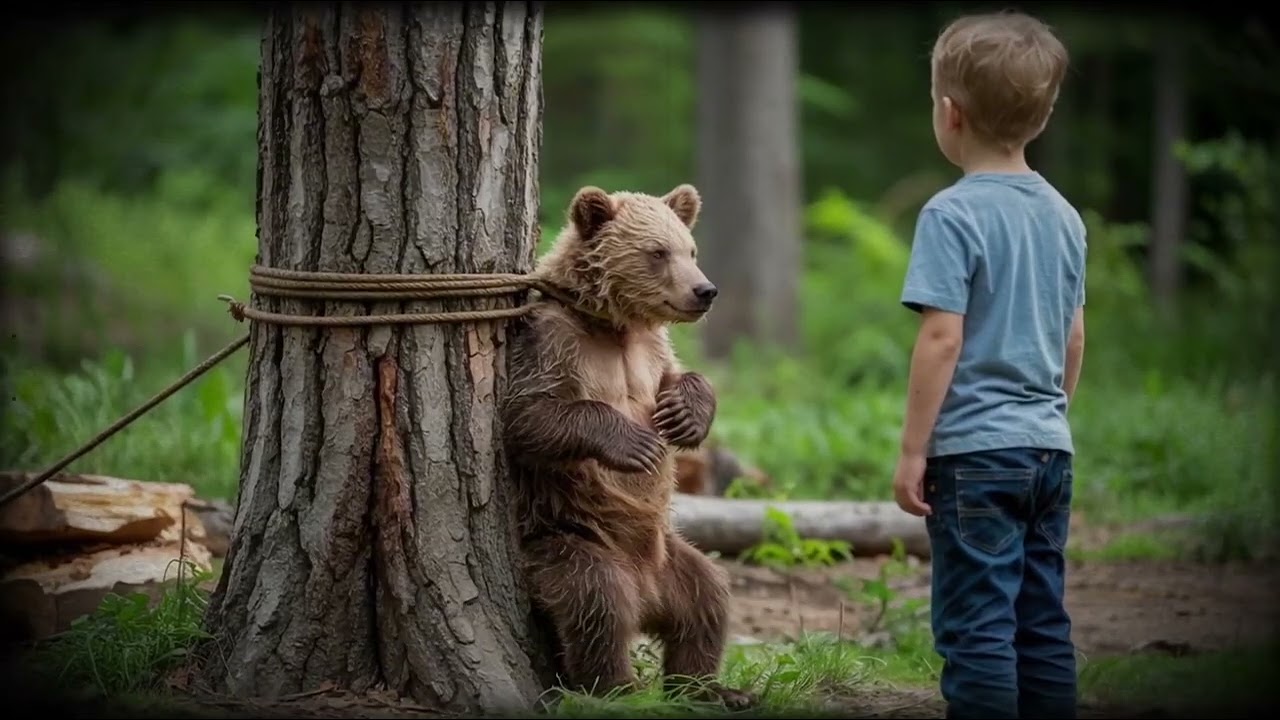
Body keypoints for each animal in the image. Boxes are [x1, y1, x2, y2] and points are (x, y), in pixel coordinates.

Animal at [501, 183, 755, 708]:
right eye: (657, 253)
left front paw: (684, 416)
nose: (704, 291)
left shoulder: (651, 351)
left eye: (690, 250)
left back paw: (710, 687)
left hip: (672, 559)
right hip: (564, 538)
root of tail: (648, 599)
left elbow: (682, 379)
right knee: (595, 600)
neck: (613, 326)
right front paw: (637, 445)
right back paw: (615, 686)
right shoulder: (550, 342)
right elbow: (529, 415)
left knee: (708, 600)